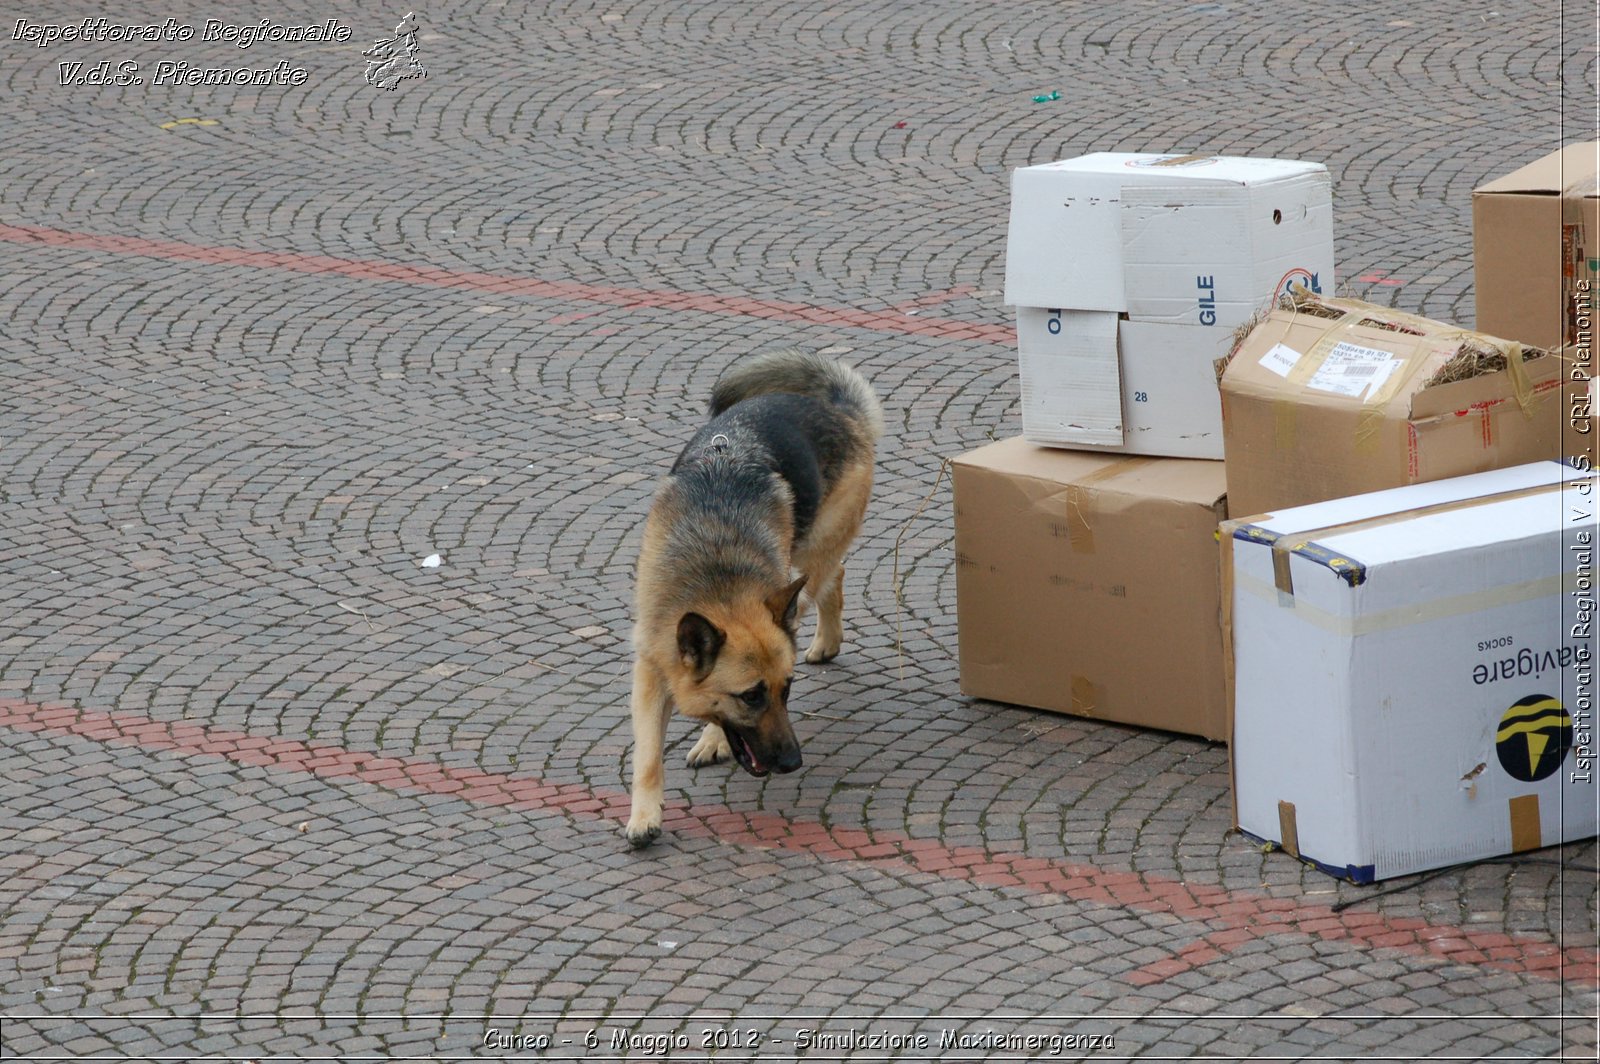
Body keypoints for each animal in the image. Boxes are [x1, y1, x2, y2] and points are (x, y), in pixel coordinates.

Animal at [624, 348, 883, 844]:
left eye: (788, 689)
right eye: (750, 697)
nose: (793, 763)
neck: (717, 575)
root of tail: (837, 408)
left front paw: (713, 739)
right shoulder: (650, 667)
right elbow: (646, 756)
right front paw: (644, 816)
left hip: (810, 556)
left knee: (829, 576)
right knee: (836, 576)